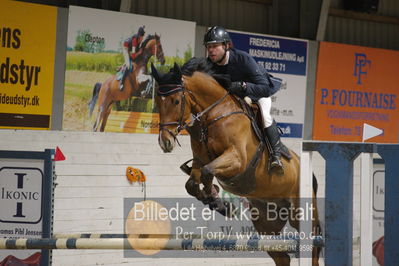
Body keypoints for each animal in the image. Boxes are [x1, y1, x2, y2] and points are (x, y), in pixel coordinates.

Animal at [151, 58, 322, 266]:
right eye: (157, 102)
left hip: (301, 213)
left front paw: (220, 203)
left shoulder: (236, 159)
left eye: (176, 101)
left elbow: (208, 172)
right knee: (282, 257)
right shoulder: (200, 160)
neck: (214, 114)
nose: (165, 142)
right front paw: (217, 201)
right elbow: (192, 183)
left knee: (312, 250)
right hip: (267, 222)